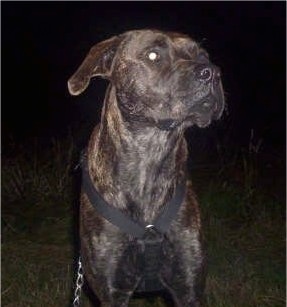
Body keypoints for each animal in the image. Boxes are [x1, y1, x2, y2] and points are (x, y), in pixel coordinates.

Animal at [68, 29, 226, 307]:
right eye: (153, 55)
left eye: (202, 55)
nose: (212, 72)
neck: (151, 152)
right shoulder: (112, 291)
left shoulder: (188, 286)